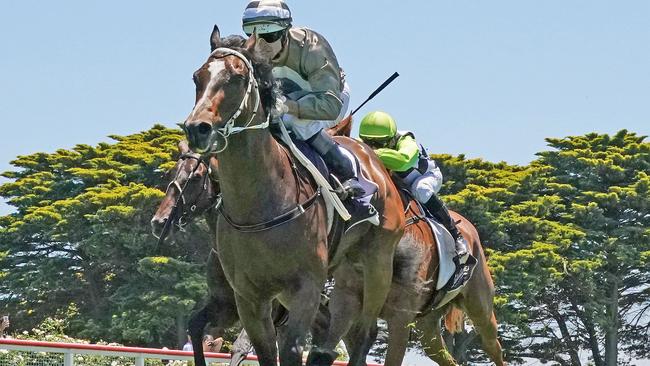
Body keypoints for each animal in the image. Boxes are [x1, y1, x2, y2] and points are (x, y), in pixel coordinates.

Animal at [177, 29, 400, 366]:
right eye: (196, 77)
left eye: (237, 77)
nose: (197, 129)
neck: (260, 206)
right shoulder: (248, 296)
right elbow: (264, 350)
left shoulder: (306, 286)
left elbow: (292, 349)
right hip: (346, 272)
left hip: (377, 266)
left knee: (364, 333)